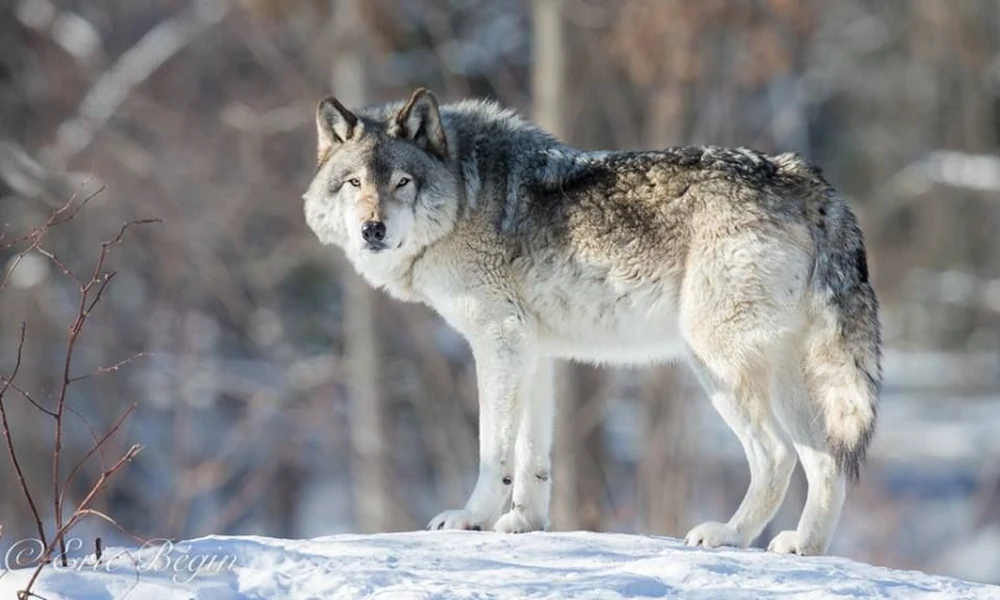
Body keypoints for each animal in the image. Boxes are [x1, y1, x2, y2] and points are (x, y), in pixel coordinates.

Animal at [302, 88, 881, 555]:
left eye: (403, 182)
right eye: (353, 183)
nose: (373, 230)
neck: (465, 196)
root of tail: (804, 179)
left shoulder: (498, 342)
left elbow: (495, 449)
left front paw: (472, 519)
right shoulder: (532, 351)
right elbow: (532, 454)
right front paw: (524, 524)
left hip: (715, 365)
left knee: (777, 457)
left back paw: (727, 535)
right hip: (782, 377)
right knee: (826, 461)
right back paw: (804, 546)